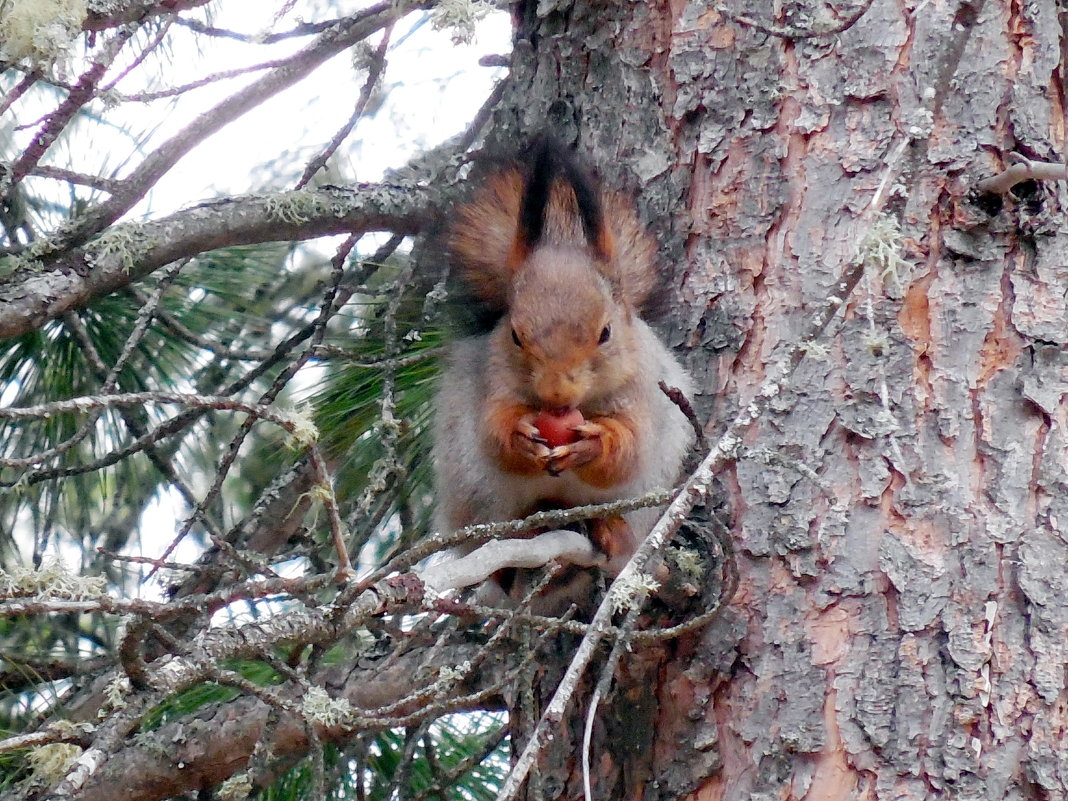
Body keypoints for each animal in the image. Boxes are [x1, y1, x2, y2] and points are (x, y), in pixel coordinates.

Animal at [429, 137, 696, 598]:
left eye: (606, 332)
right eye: (515, 335)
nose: (556, 395)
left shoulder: (644, 390)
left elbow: (628, 450)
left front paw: (593, 445)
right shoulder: (493, 382)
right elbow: (493, 435)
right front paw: (520, 437)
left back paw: (608, 529)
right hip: (474, 490)